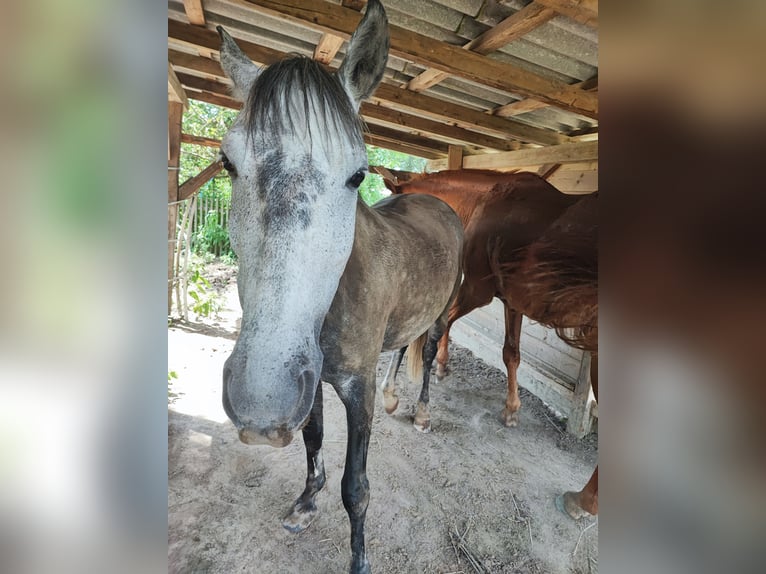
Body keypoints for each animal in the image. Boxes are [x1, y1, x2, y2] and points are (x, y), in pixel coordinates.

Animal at [216, 2, 463, 572]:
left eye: (357, 176)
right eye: (227, 162)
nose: (260, 399)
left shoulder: (355, 389)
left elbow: (357, 487)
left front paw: (359, 559)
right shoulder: (309, 380)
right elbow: (312, 437)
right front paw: (306, 502)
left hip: (443, 313)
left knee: (429, 350)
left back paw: (419, 411)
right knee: (401, 349)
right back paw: (397, 397)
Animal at [375, 167, 598, 519]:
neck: (486, 201)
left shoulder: (476, 290)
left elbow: (448, 323)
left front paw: (440, 366)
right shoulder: (511, 301)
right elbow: (511, 353)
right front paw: (510, 408)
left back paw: (582, 501)